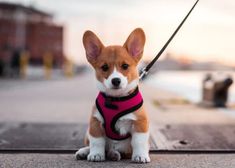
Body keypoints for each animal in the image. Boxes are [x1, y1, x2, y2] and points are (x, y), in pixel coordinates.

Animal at [75, 28, 151, 163]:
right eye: (104, 67)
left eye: (125, 66)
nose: (116, 80)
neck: (116, 99)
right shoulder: (95, 122)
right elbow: (97, 142)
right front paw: (96, 154)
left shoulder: (140, 123)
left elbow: (139, 142)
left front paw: (140, 156)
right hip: (87, 132)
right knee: (94, 145)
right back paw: (85, 152)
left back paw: (113, 154)